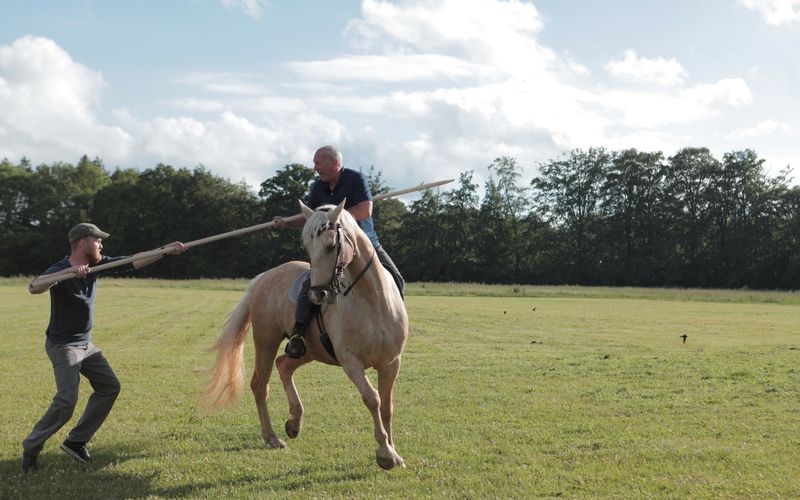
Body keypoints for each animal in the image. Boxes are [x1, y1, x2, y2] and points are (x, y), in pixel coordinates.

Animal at [203, 199, 410, 468]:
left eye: (332, 245)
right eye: (309, 248)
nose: (317, 295)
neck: (372, 299)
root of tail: (264, 277)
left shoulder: (391, 363)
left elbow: (387, 406)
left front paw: (394, 453)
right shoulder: (351, 361)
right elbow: (372, 398)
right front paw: (385, 454)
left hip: (308, 350)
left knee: (284, 365)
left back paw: (294, 422)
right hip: (266, 340)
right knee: (260, 384)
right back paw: (273, 437)